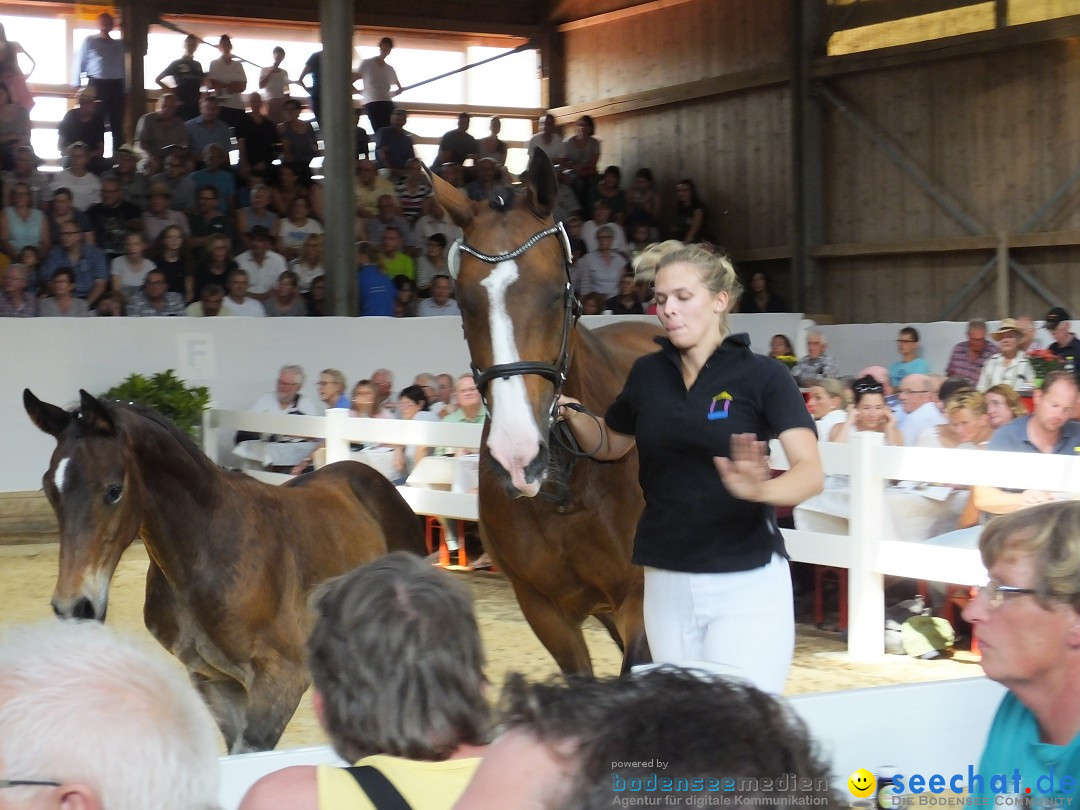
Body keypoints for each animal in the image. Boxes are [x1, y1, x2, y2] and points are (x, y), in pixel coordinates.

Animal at [23, 388, 423, 756]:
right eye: (49, 489)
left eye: (114, 490)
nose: (74, 607)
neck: (206, 552)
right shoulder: (213, 681)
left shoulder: (282, 679)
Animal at [429, 151, 656, 673]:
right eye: (464, 302)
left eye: (557, 292)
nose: (517, 457)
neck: (568, 482)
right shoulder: (544, 610)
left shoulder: (640, 600)